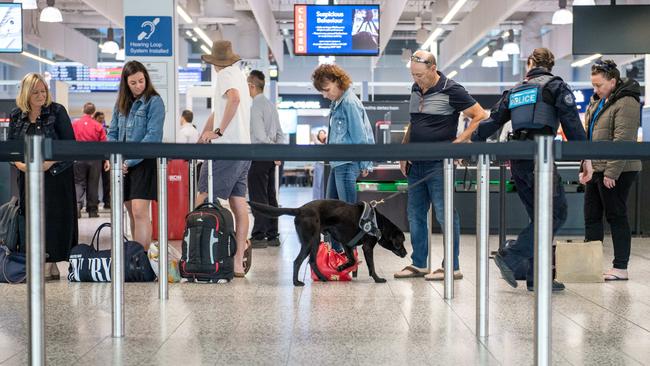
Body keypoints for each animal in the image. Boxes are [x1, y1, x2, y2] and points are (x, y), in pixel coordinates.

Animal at [248, 200, 404, 286]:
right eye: (401, 242)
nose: (406, 253)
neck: (378, 223)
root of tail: (300, 209)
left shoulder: (347, 244)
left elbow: (352, 260)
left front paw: (341, 267)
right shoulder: (367, 247)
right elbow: (371, 266)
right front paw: (378, 279)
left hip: (315, 241)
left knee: (311, 261)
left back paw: (323, 278)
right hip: (309, 241)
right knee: (297, 261)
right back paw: (296, 282)